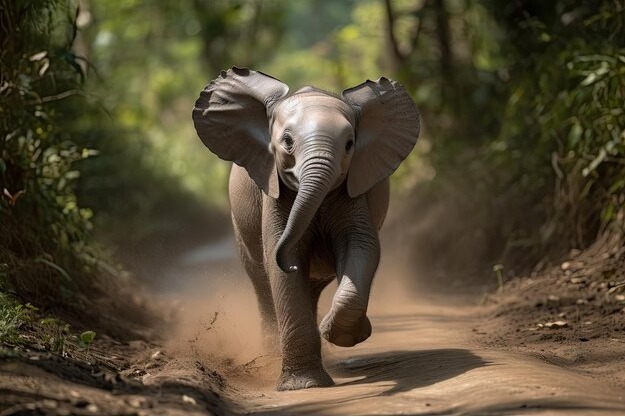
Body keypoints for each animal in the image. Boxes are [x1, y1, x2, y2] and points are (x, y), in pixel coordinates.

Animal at [193, 66, 422, 390]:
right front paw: (304, 386)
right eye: (287, 141)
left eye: (350, 145)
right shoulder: (274, 192)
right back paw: (270, 356)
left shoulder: (352, 191)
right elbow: (283, 263)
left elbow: (362, 246)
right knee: (262, 282)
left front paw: (339, 333)